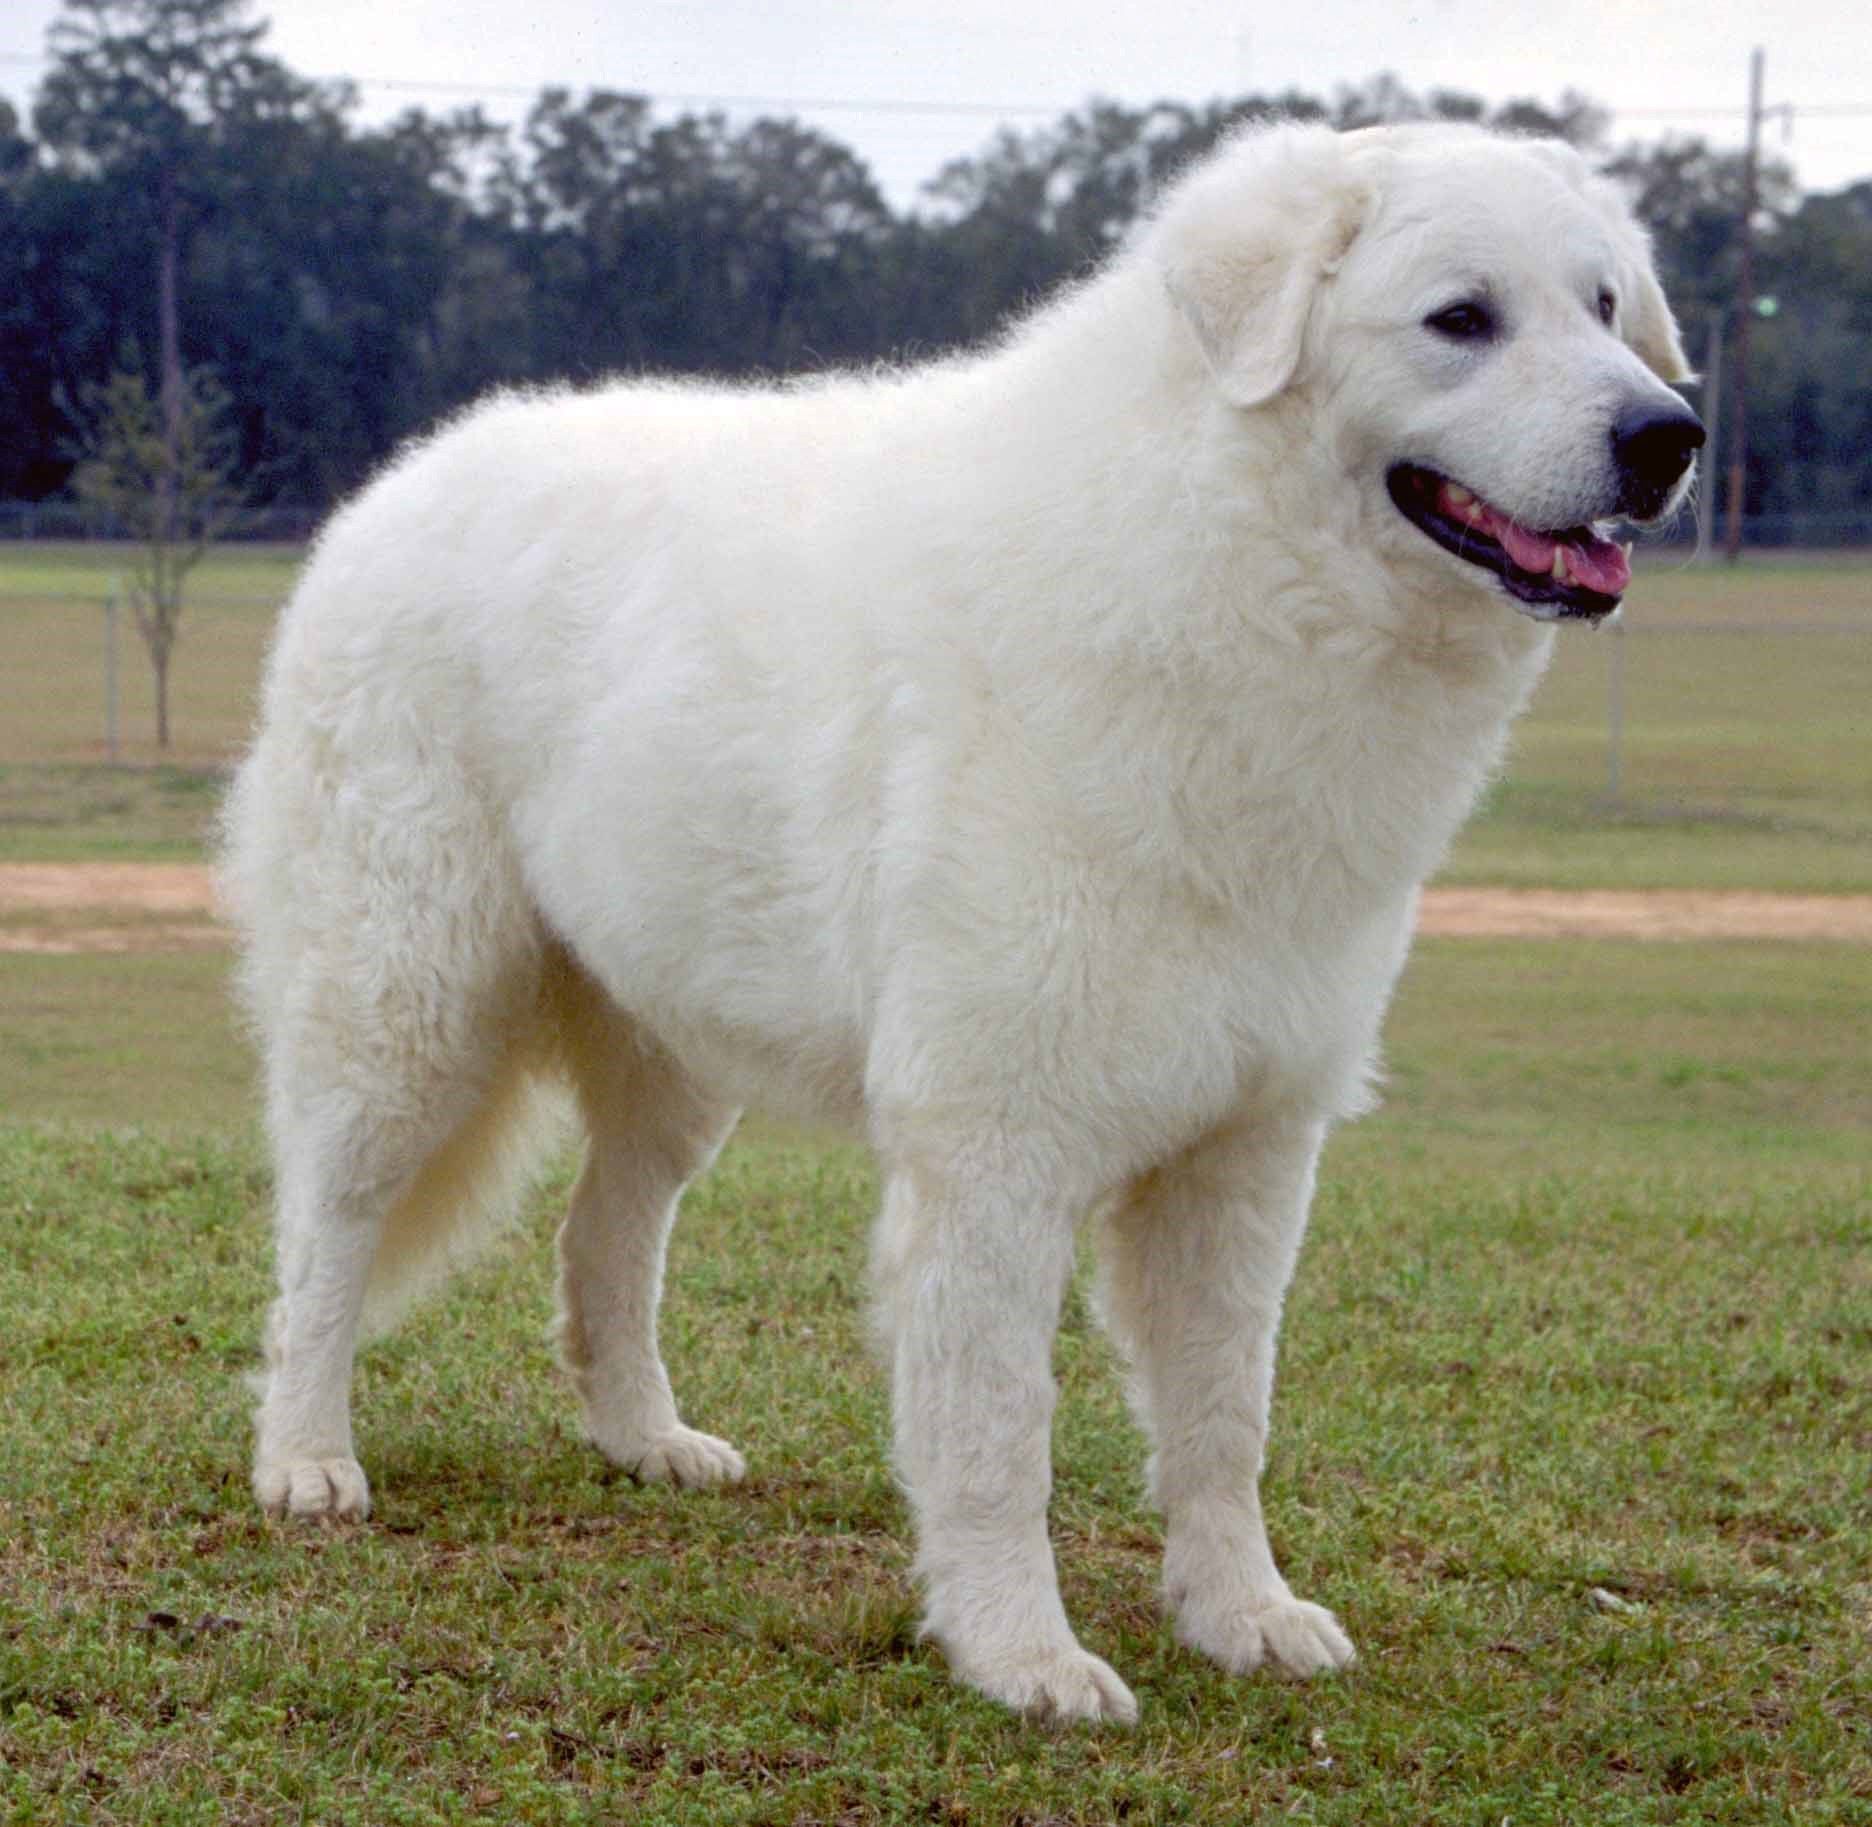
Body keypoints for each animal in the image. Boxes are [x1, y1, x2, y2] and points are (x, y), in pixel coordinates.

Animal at [226, 121, 1707, 1722]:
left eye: (1605, 308)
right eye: (1462, 319)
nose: (1670, 437)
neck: (1223, 565)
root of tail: (404, 479)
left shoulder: (1247, 1148)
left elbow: (1224, 1417)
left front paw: (1240, 1615)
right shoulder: (997, 1146)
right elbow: (1000, 1436)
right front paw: (1023, 1656)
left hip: (672, 1044)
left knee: (603, 1237)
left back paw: (645, 1440)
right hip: (407, 1003)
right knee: (325, 1239)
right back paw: (305, 1460)